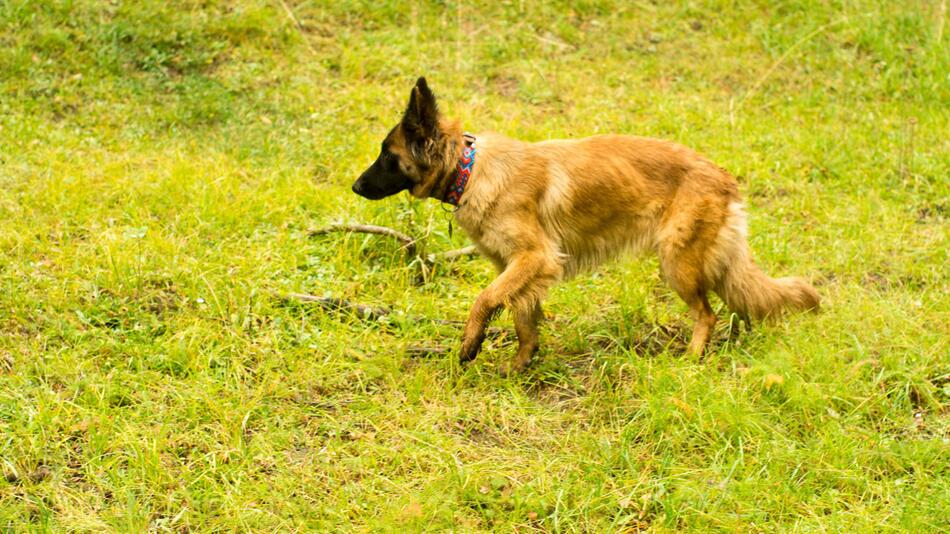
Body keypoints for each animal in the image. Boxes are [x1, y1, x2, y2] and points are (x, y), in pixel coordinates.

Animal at [354, 77, 820, 374]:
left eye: (387, 156)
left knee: (708, 314)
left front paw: (471, 343)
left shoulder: (534, 258)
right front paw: (521, 365)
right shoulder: (520, 268)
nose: (355, 186)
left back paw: (691, 358)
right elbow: (523, 319)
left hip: (677, 265)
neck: (470, 169)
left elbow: (483, 299)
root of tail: (725, 179)